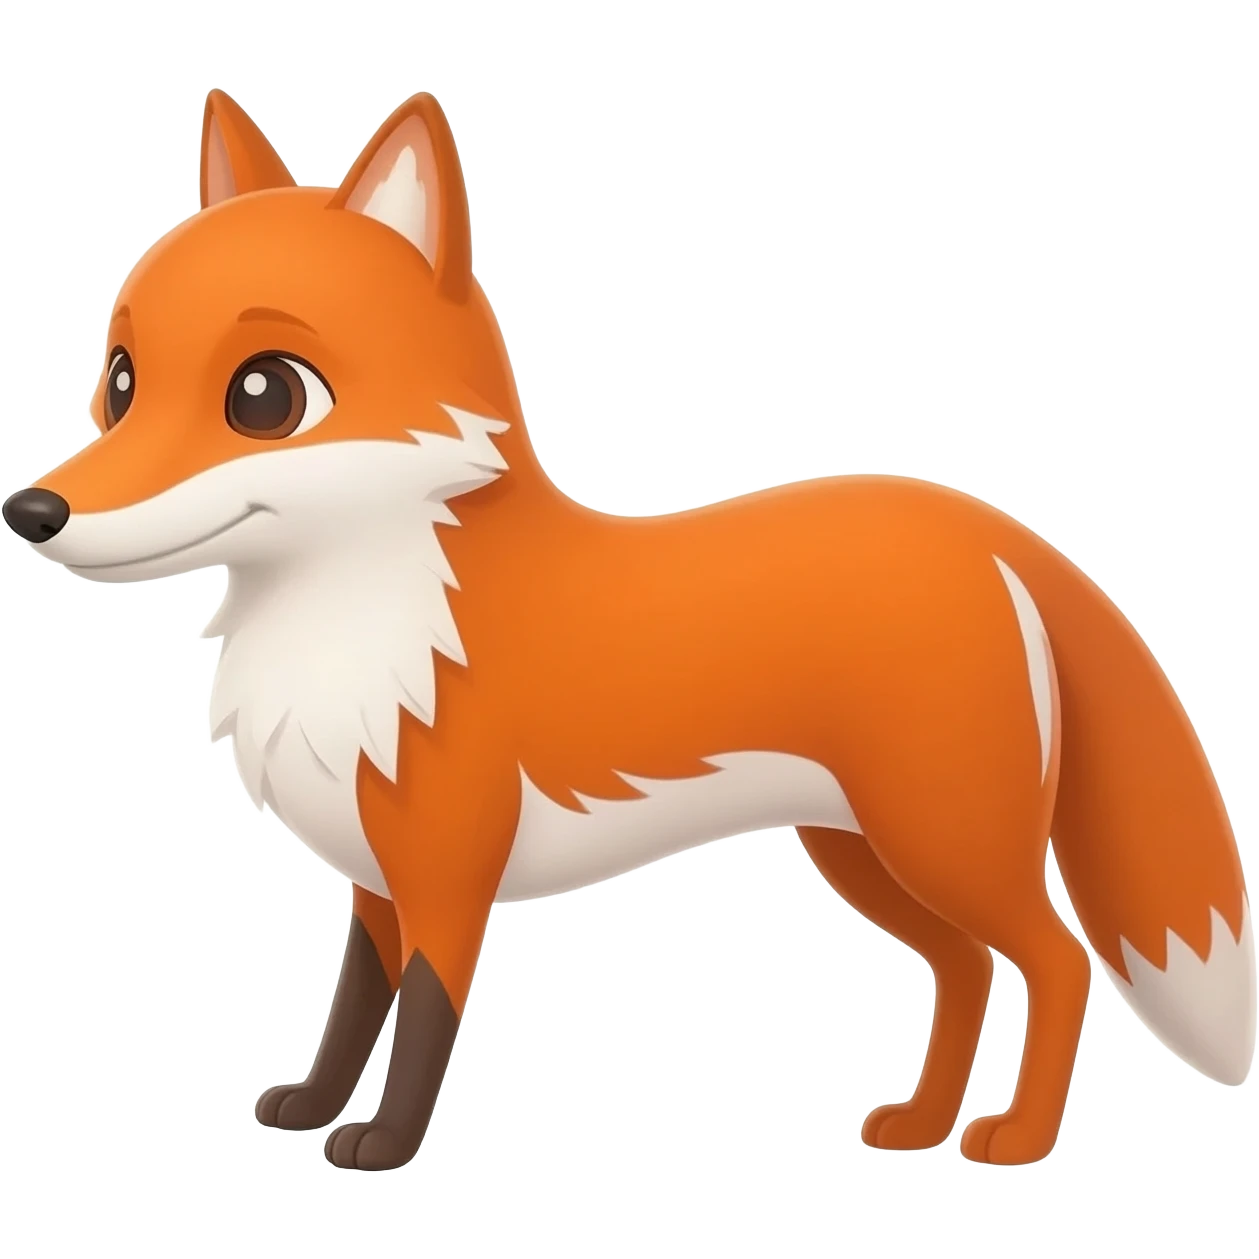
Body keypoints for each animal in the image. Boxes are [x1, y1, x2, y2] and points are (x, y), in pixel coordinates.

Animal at [4, 85, 1253, 1172]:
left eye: (263, 395)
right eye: (119, 382)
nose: (32, 512)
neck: (366, 623)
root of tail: (988, 528)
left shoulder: (447, 871)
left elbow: (422, 1015)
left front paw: (381, 1146)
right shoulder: (371, 876)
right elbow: (351, 1005)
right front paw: (310, 1105)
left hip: (944, 837)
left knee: (1057, 958)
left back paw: (1017, 1138)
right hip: (865, 852)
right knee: (968, 966)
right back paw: (919, 1119)